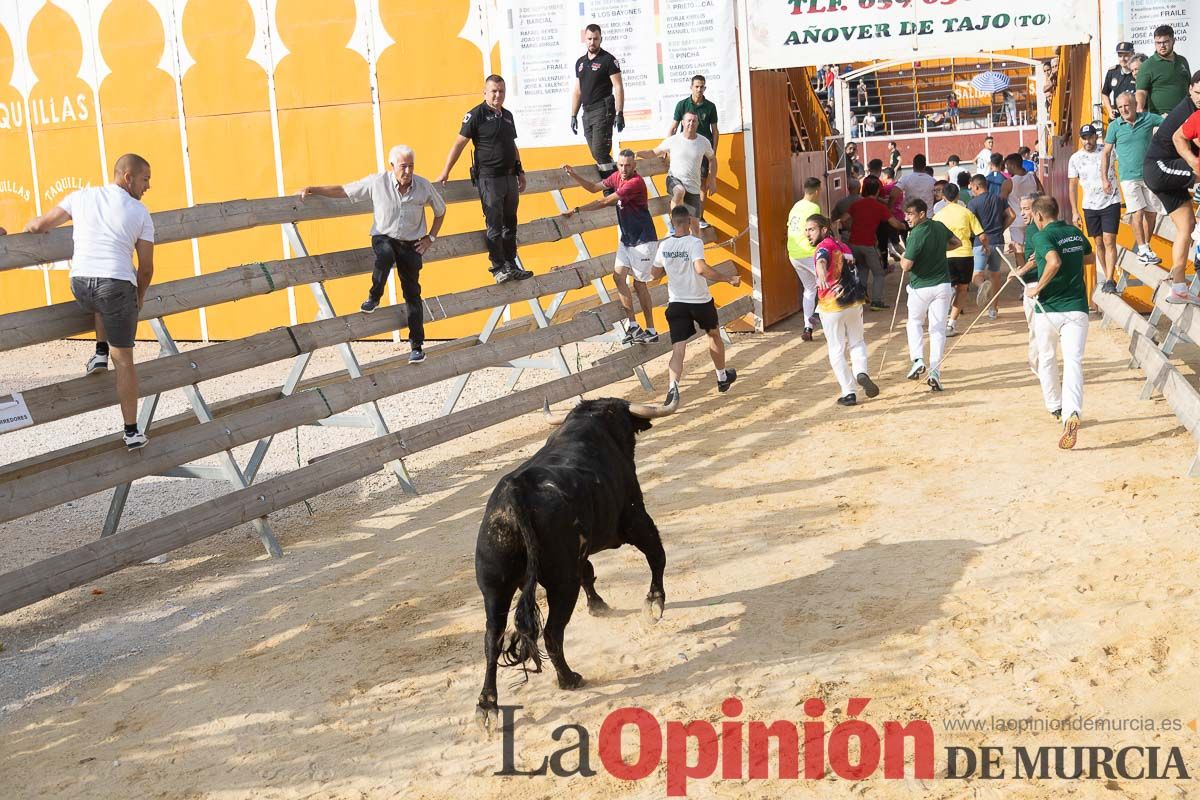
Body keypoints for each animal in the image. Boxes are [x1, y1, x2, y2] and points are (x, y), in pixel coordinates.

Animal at [470, 395, 676, 724]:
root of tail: (515, 492)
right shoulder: (635, 520)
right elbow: (656, 554)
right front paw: (654, 603)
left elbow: (589, 572)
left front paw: (598, 605)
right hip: (561, 584)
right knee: (552, 632)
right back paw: (569, 679)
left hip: (495, 587)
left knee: (493, 639)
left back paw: (487, 705)